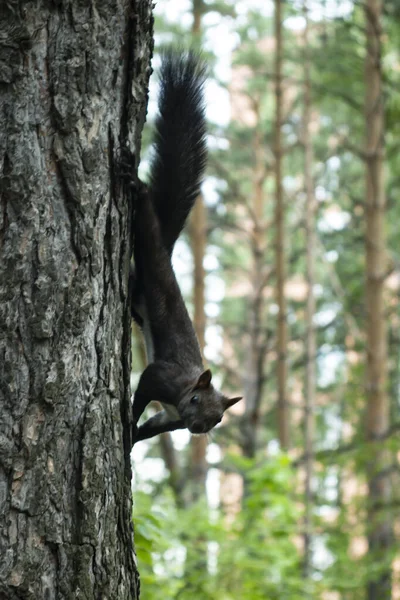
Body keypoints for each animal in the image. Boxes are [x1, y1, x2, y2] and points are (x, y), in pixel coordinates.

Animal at [130, 51, 241, 442]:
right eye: (194, 400)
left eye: (217, 419)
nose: (196, 428)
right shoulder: (162, 377)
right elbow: (143, 391)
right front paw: (126, 423)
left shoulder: (169, 419)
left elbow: (149, 428)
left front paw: (131, 439)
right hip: (150, 260)